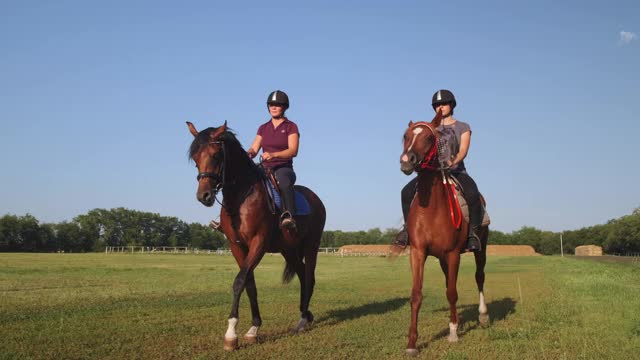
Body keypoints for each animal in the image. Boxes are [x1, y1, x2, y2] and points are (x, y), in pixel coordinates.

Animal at [185, 121, 324, 352]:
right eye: (195, 159)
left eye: (216, 155)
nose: (203, 196)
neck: (241, 199)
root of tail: (316, 199)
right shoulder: (237, 246)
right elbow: (249, 284)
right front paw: (253, 329)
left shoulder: (258, 243)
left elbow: (239, 281)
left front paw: (231, 334)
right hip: (288, 250)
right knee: (302, 275)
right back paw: (306, 315)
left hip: (311, 246)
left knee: (309, 277)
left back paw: (303, 320)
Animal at [400, 112, 490, 354]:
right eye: (405, 136)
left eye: (430, 139)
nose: (406, 160)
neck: (432, 208)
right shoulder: (418, 252)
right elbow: (416, 294)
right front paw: (412, 343)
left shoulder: (453, 253)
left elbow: (452, 293)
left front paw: (453, 333)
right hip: (442, 259)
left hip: (480, 248)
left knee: (479, 276)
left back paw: (483, 315)